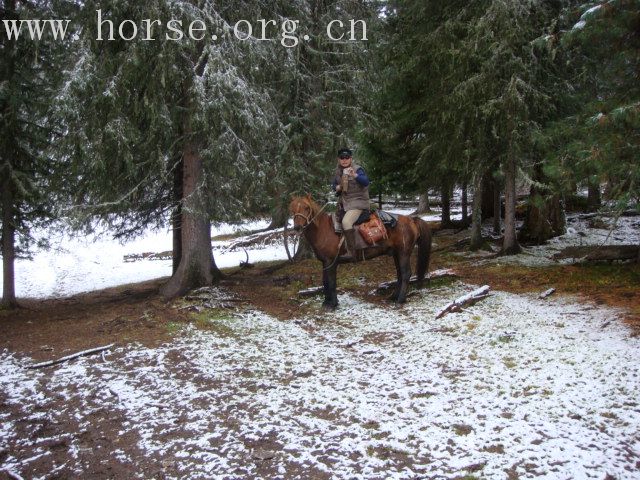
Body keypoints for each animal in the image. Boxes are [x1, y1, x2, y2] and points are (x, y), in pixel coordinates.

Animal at [288, 194, 430, 310]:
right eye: (292, 209)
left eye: (306, 208)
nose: (297, 227)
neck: (324, 230)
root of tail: (412, 220)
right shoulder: (325, 262)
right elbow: (325, 282)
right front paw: (326, 302)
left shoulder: (331, 261)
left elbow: (332, 282)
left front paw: (333, 304)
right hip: (396, 253)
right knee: (400, 274)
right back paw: (393, 297)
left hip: (404, 253)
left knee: (406, 274)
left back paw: (400, 300)